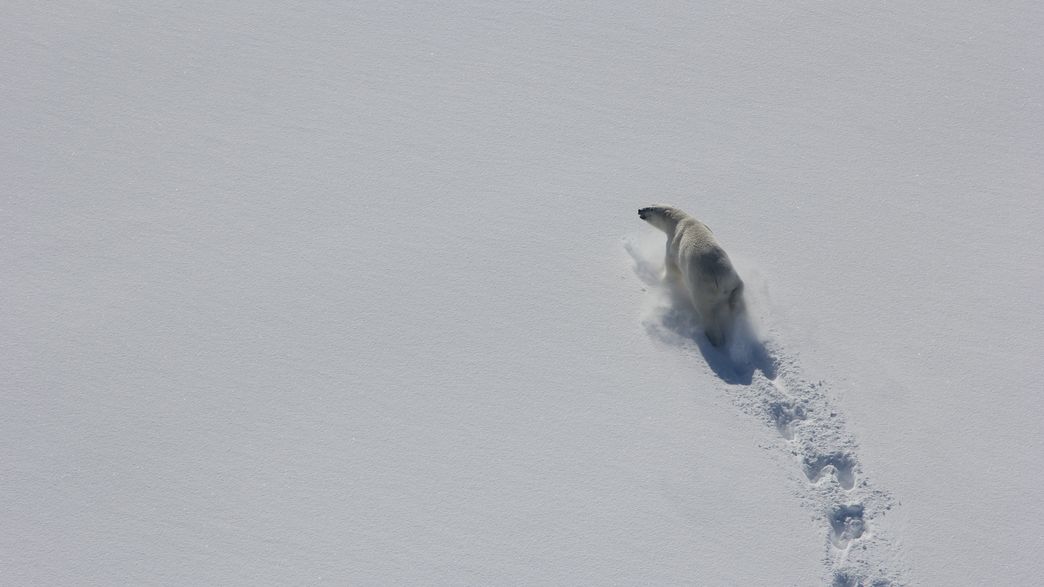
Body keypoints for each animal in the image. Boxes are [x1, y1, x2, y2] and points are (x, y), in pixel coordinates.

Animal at [638, 205, 745, 347]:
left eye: (650, 208)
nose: (639, 210)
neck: (682, 219)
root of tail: (718, 280)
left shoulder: (673, 245)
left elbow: (672, 269)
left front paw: (661, 278)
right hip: (731, 276)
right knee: (738, 291)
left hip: (701, 288)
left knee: (706, 312)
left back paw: (715, 340)